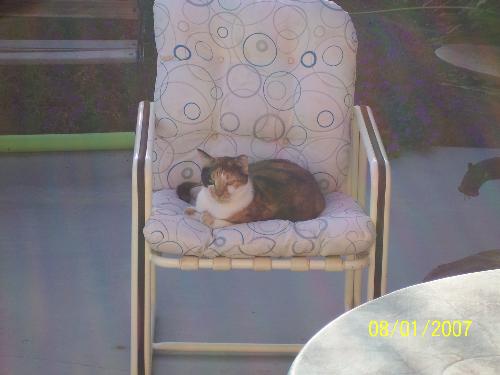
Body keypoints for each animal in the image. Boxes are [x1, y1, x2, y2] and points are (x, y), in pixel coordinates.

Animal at [178, 150, 326, 229]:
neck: (215, 205)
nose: (218, 194)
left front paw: (204, 216)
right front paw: (193, 210)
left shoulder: (260, 215)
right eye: (211, 181)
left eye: (230, 182)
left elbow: (211, 220)